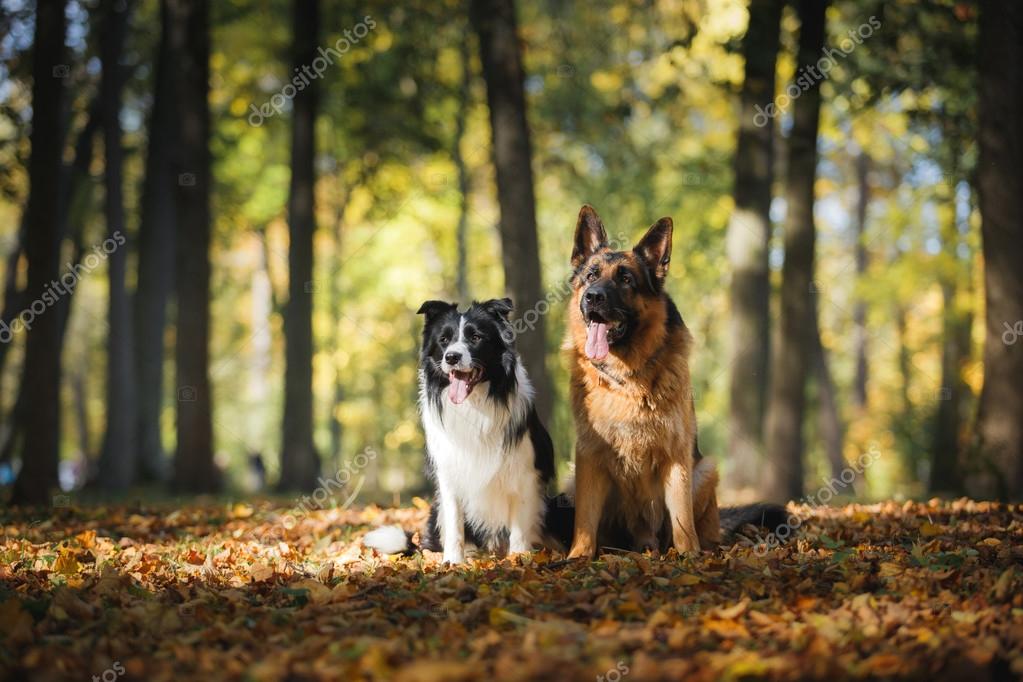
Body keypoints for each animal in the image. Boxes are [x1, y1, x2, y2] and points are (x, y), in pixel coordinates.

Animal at [564, 205, 777, 556]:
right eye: (591, 275)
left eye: (626, 279)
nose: (593, 297)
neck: (625, 377)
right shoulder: (588, 456)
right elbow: (584, 520)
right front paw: (577, 556)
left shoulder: (677, 456)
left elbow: (682, 519)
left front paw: (689, 555)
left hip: (705, 470)